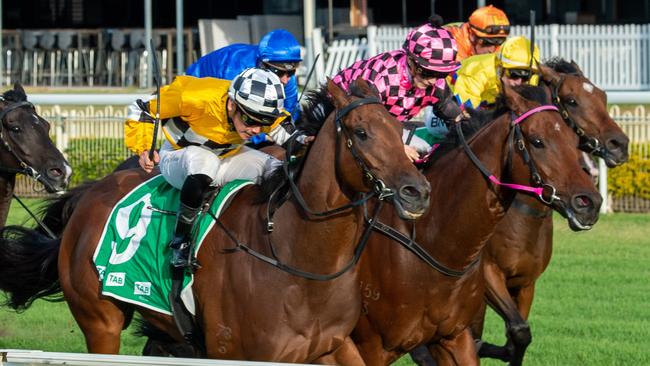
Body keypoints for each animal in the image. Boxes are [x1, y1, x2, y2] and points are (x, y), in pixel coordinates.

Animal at [346, 83, 600, 366]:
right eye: (537, 141)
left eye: (573, 140)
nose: (589, 202)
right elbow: (516, 332)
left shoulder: (518, 289)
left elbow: (518, 333)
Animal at [458, 58, 624, 364]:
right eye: (572, 100)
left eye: (603, 97)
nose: (621, 145)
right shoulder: (487, 276)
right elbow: (516, 332)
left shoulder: (526, 283)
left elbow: (517, 337)